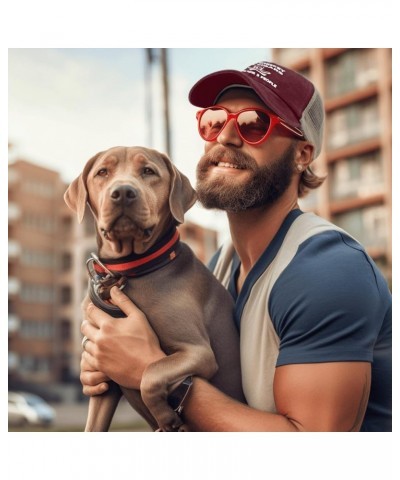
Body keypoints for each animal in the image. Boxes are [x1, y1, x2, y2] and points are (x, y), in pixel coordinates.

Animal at [64, 145, 245, 432]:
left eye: (148, 171)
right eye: (102, 172)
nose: (123, 192)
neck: (130, 272)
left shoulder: (198, 352)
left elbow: (150, 374)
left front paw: (167, 418)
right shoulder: (103, 380)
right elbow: (93, 426)